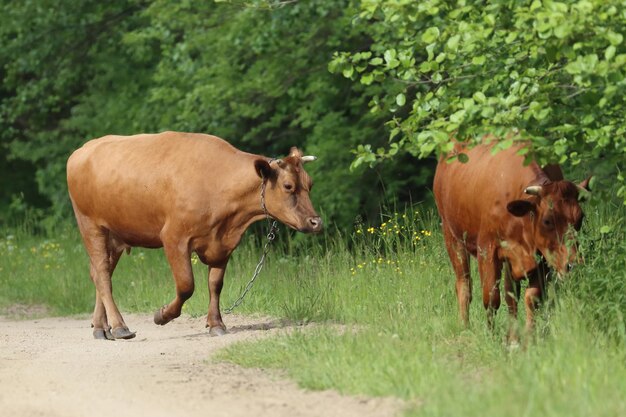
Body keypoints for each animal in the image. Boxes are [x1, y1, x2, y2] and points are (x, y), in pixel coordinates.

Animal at [67, 132, 322, 340]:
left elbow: (215, 284)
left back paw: (101, 327)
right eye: (288, 186)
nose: (316, 222)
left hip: (115, 234)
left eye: (310, 184)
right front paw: (162, 315)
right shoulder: (174, 237)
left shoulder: (223, 244)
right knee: (102, 274)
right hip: (91, 225)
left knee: (100, 272)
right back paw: (120, 326)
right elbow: (186, 285)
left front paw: (216, 324)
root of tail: (83, 150)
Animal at [432, 141, 588, 336]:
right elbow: (491, 298)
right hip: (451, 234)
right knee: (464, 284)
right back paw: (464, 326)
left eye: (580, 218)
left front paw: (528, 335)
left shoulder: (541, 257)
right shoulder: (487, 250)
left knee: (510, 294)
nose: (572, 264)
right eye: (547, 220)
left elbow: (531, 297)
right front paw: (490, 334)